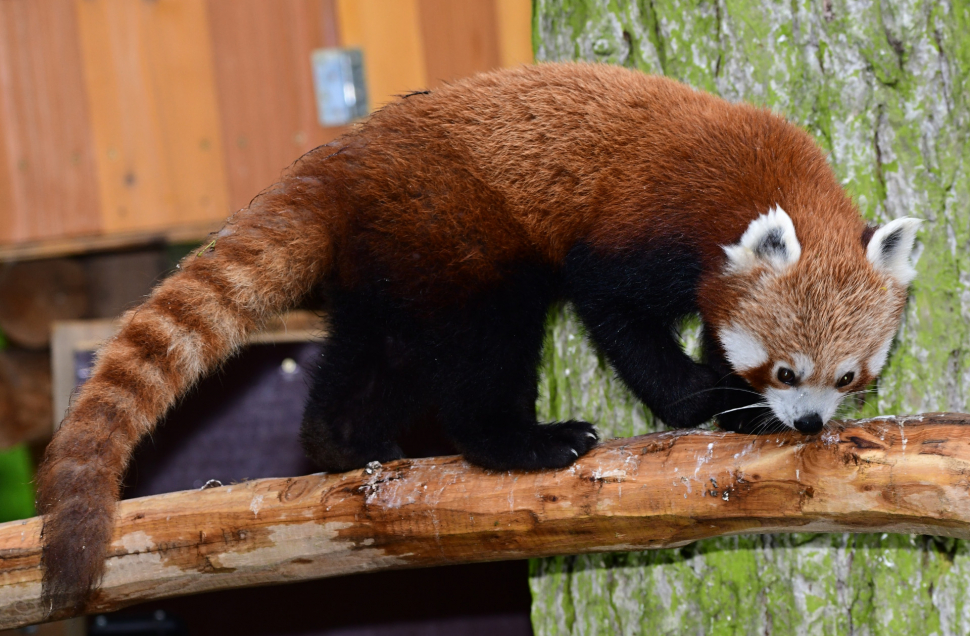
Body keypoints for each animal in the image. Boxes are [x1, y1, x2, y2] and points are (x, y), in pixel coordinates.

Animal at [36, 63, 916, 612]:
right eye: (786, 370)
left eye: (846, 377)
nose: (808, 422)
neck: (771, 182)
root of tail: (337, 161)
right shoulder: (642, 232)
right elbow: (615, 310)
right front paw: (708, 400)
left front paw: (737, 403)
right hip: (460, 235)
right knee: (485, 347)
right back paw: (523, 442)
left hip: (390, 265)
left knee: (378, 352)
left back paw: (343, 444)